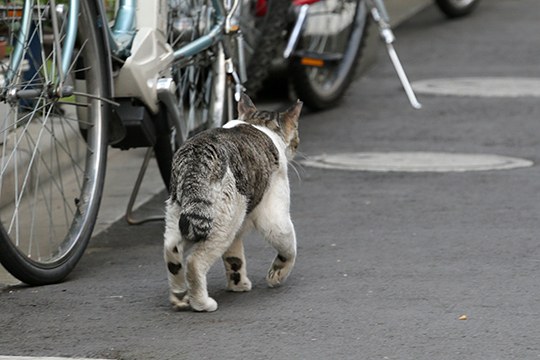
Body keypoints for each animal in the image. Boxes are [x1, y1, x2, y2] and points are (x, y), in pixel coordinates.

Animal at [162, 93, 302, 312]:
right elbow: (288, 248)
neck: (258, 123)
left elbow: (234, 257)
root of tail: (196, 157)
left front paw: (238, 284)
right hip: (221, 225)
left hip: (181, 215)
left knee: (171, 251)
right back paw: (202, 303)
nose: (297, 144)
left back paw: (179, 298)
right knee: (194, 262)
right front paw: (277, 275)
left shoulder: (237, 227)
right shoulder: (275, 218)